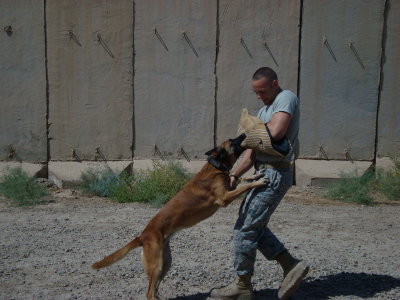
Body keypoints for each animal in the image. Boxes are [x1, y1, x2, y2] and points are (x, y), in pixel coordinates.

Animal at [92, 135, 268, 298]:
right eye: (233, 140)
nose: (244, 134)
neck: (215, 166)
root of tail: (143, 236)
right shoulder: (224, 198)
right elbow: (244, 186)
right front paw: (258, 182)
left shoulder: (229, 188)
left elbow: (241, 179)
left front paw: (254, 176)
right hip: (156, 265)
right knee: (149, 293)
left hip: (166, 262)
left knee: (155, 290)